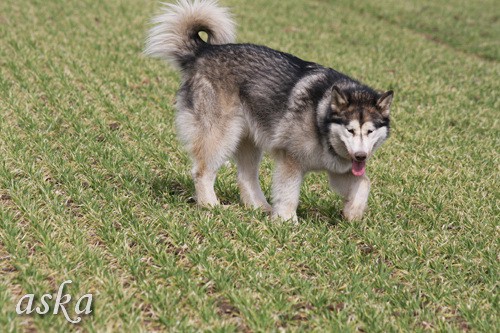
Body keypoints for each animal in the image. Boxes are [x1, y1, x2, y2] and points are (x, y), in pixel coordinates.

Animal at [145, 1, 394, 222]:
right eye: (350, 130)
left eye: (370, 131)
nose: (361, 156)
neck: (320, 116)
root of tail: (204, 50)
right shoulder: (291, 160)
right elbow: (288, 193)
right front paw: (286, 221)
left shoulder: (338, 169)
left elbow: (364, 183)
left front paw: (353, 212)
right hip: (221, 135)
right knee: (202, 171)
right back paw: (210, 205)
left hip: (247, 139)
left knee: (245, 177)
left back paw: (258, 207)